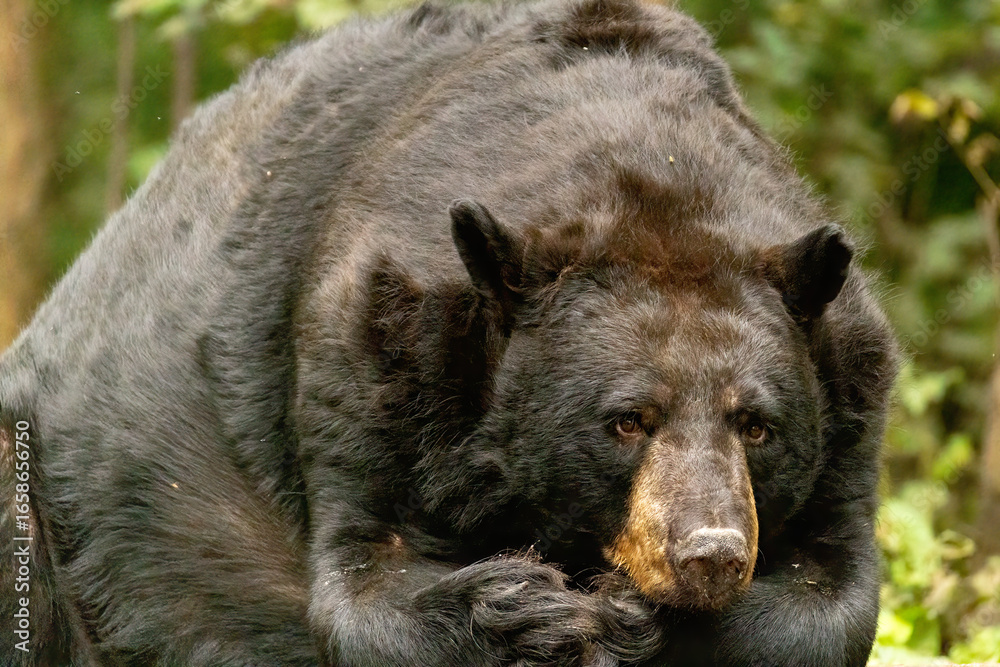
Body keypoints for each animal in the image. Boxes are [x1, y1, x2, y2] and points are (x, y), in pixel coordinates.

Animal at [0, 0, 898, 665]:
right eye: (626, 419)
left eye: (758, 423)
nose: (710, 552)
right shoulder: (374, 355)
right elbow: (366, 583)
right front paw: (525, 607)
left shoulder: (850, 392)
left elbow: (831, 596)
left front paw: (638, 617)